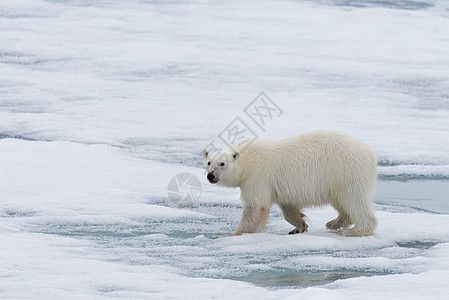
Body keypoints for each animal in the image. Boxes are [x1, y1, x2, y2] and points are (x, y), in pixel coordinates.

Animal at [201, 131, 376, 237]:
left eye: (222, 163)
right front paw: (299, 226)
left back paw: (354, 230)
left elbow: (256, 206)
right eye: (209, 162)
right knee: (342, 202)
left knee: (354, 200)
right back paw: (334, 223)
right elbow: (288, 207)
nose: (211, 175)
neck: (247, 160)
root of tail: (368, 151)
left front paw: (232, 234)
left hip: (346, 171)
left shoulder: (257, 176)